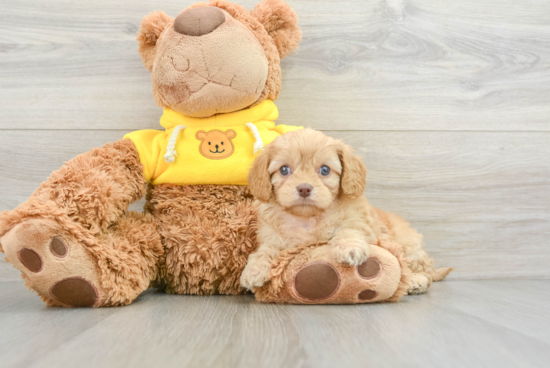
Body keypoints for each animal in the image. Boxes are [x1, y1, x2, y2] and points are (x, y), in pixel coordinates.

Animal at [242, 128, 452, 294]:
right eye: (284, 170)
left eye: (325, 170)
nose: (304, 189)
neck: (308, 218)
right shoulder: (272, 236)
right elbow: (266, 250)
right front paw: (253, 270)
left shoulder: (360, 222)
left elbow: (349, 229)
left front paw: (350, 248)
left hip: (409, 245)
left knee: (423, 271)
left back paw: (416, 281)